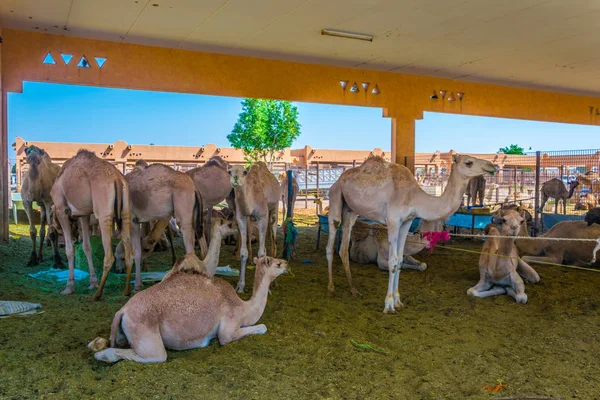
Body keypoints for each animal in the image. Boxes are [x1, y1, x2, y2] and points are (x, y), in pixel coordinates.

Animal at [50, 150, 134, 300]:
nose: (52, 232)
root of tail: (117, 179)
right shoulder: (84, 214)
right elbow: (87, 246)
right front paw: (92, 282)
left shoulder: (61, 209)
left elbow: (69, 249)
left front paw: (69, 287)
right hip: (125, 212)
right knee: (129, 254)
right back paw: (126, 291)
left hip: (104, 213)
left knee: (109, 257)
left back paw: (97, 294)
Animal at [87, 255, 290, 364]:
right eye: (277, 264)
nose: (287, 263)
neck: (244, 307)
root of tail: (123, 311)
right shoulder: (228, 328)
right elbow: (260, 328)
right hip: (147, 335)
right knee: (155, 355)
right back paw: (101, 355)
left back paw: (95, 345)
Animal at [124, 162, 204, 290]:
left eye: (147, 249)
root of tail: (194, 187)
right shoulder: (138, 221)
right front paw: (139, 282)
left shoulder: (132, 220)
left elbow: (133, 252)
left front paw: (135, 285)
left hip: (183, 212)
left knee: (189, 242)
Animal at [230, 161, 282, 292]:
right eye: (229, 171)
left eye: (244, 172)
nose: (235, 178)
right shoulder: (242, 217)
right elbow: (243, 252)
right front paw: (240, 286)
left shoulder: (262, 217)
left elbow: (262, 254)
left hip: (274, 210)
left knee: (273, 241)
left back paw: (274, 282)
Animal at [326, 153, 494, 312]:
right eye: (468, 162)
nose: (492, 166)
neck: (414, 198)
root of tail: (338, 180)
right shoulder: (393, 220)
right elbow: (393, 261)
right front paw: (388, 305)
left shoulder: (406, 222)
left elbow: (400, 259)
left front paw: (398, 301)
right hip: (336, 196)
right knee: (331, 239)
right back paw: (331, 287)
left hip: (350, 210)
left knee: (344, 247)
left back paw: (353, 289)